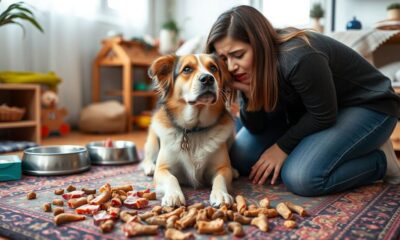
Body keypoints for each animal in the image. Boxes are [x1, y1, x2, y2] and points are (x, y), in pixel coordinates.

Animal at [141, 53, 238, 207]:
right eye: (187, 69)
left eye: (213, 68)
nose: (208, 78)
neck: (194, 129)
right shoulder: (163, 169)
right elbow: (171, 178)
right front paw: (174, 194)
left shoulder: (221, 168)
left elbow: (220, 178)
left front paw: (221, 194)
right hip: (153, 141)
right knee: (147, 158)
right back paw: (149, 167)